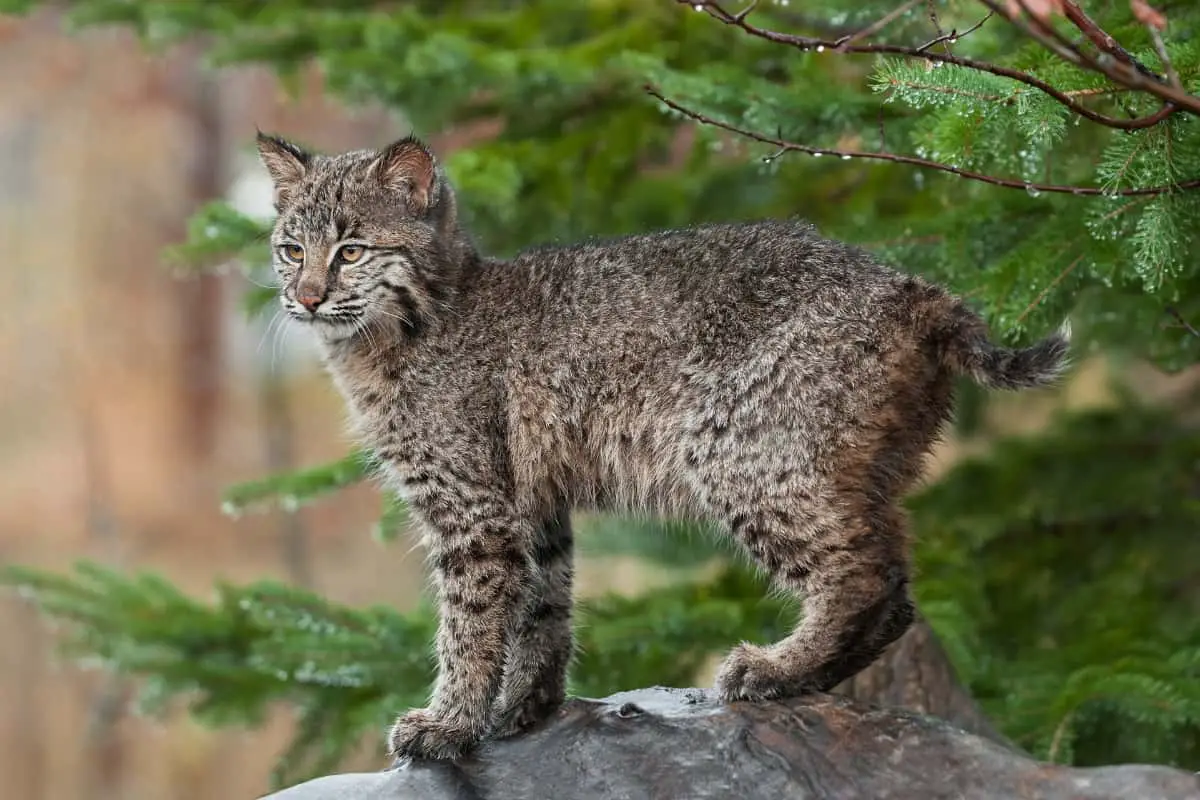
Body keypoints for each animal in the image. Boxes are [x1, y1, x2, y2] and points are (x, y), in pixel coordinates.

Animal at [258, 133, 1065, 762]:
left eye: (352, 250)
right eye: (291, 249)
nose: (305, 297)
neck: (387, 336)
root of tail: (911, 285)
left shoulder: (473, 509)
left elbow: (470, 622)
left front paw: (449, 725)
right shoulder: (530, 504)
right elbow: (542, 608)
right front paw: (524, 711)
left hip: (740, 454)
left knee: (864, 574)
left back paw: (773, 670)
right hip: (856, 463)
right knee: (897, 575)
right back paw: (805, 674)